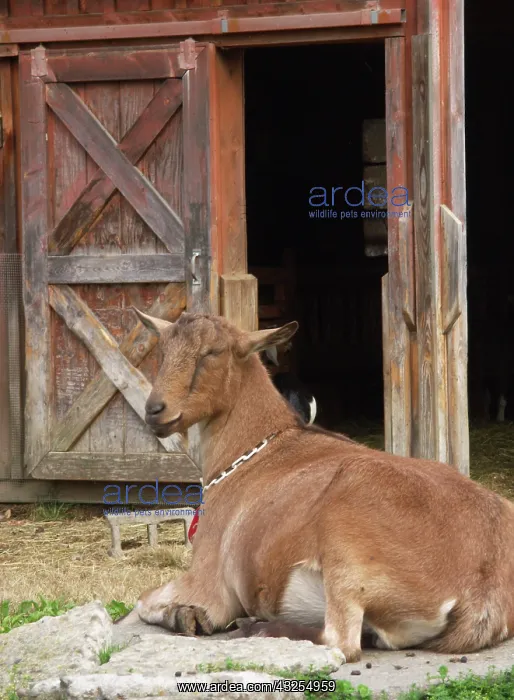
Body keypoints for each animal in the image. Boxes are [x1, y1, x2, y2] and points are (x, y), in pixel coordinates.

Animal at [120, 310, 514, 663]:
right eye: (162, 350)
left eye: (211, 353)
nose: (155, 410)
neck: (251, 451)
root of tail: (482, 591)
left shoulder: (209, 581)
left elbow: (144, 601)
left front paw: (186, 615)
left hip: (346, 550)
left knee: (340, 641)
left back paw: (256, 627)